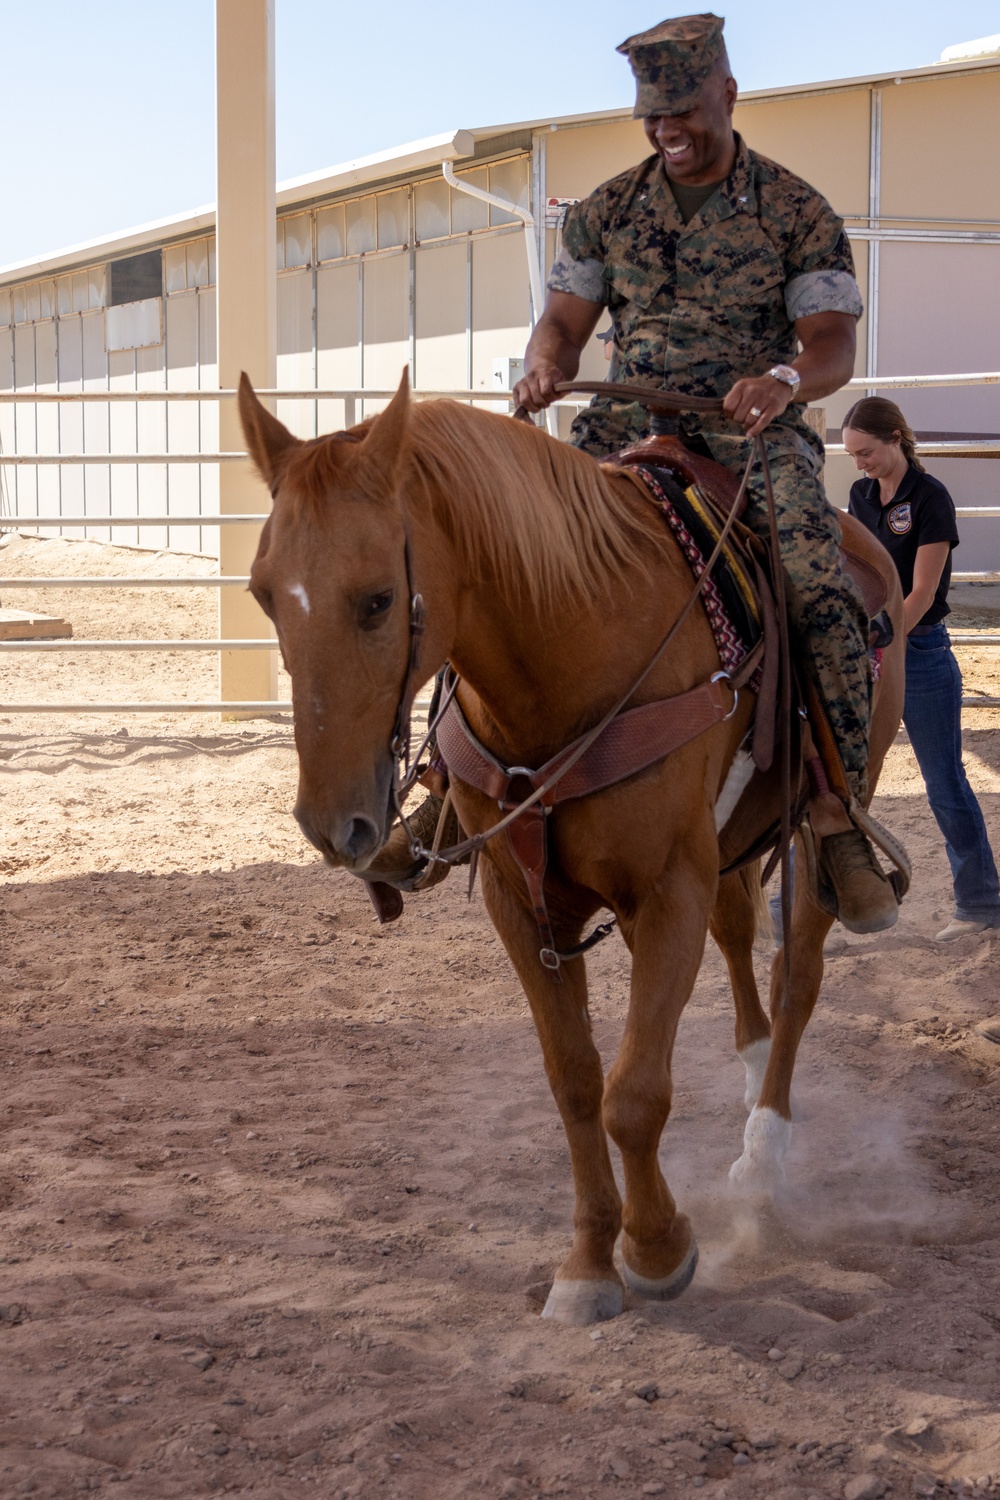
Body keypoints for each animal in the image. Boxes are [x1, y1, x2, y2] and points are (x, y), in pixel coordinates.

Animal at [238, 372, 905, 1326]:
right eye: (264, 594)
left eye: (376, 599)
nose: (336, 826)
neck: (568, 645)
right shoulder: (525, 903)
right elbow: (577, 1081)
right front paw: (590, 1262)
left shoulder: (665, 889)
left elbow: (635, 1092)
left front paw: (658, 1249)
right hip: (723, 848)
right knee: (740, 937)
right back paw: (748, 1075)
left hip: (824, 817)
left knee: (798, 971)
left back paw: (765, 1144)